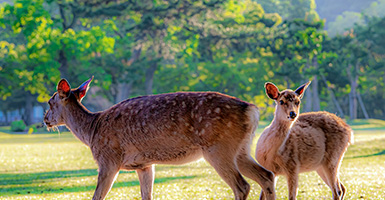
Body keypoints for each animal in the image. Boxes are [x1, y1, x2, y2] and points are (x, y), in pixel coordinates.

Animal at [43, 77, 274, 200]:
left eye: (50, 102)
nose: (45, 119)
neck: (92, 130)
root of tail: (252, 111)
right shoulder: (144, 164)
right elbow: (147, 195)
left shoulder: (108, 159)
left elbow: (97, 196)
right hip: (241, 149)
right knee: (266, 176)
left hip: (218, 148)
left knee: (242, 185)